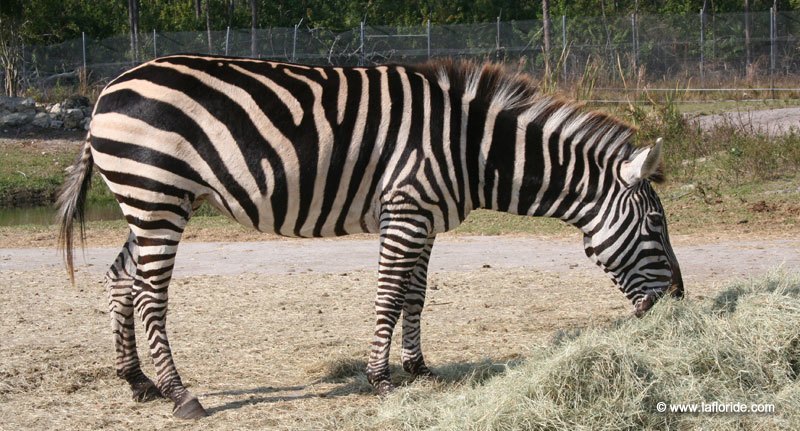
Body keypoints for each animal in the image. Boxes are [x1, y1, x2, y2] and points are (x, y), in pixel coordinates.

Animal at [56, 55, 684, 420]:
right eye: (656, 226)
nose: (678, 302)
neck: (471, 148)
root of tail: (109, 87)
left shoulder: (426, 217)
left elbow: (415, 295)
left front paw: (419, 368)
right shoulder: (404, 208)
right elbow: (387, 293)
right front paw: (380, 379)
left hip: (153, 198)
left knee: (120, 277)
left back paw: (137, 382)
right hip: (156, 192)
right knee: (149, 292)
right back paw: (179, 394)